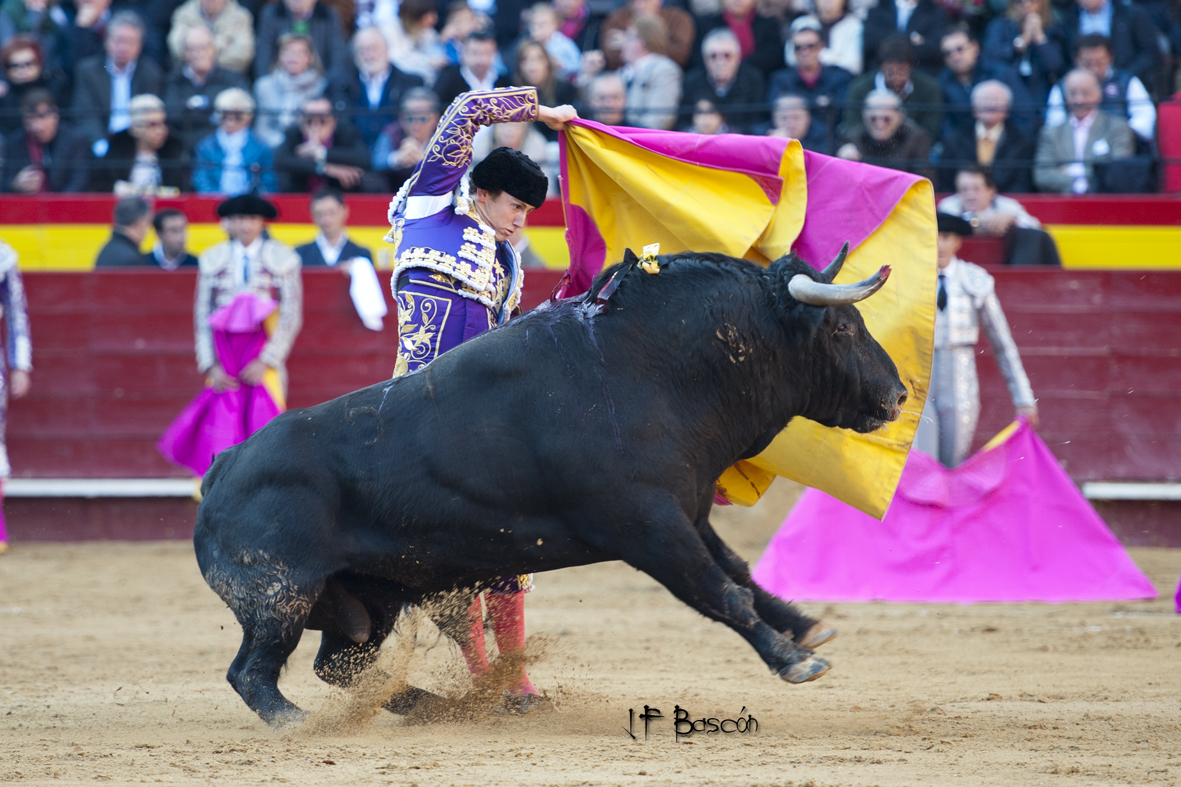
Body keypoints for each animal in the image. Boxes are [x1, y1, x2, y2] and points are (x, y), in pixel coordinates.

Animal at [194, 245, 909, 726]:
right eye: (842, 328)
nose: (898, 395)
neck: (652, 369)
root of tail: (223, 466)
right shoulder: (649, 529)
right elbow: (719, 591)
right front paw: (794, 661)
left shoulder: (689, 510)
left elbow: (740, 572)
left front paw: (807, 628)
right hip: (281, 596)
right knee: (251, 673)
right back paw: (302, 724)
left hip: (366, 599)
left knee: (340, 667)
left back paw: (436, 706)